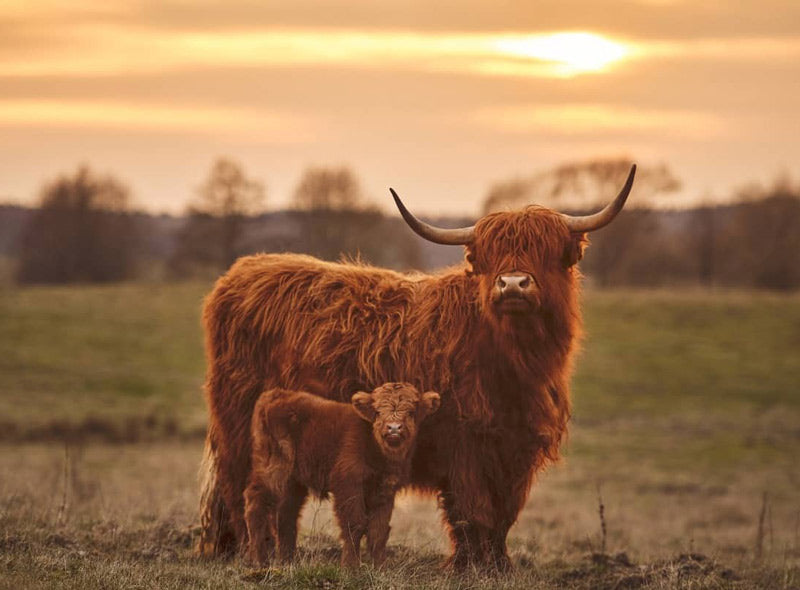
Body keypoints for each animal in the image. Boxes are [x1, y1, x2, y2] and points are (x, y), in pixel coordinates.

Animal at [245, 384, 444, 568]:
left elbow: (378, 530)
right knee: (256, 504)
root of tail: (275, 394)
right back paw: (259, 561)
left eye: (411, 412)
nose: (394, 428)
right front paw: (350, 567)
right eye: (378, 412)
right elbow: (354, 524)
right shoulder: (348, 485)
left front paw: (380, 567)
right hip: (273, 470)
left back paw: (288, 561)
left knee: (286, 513)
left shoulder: (385, 490)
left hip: (293, 482)